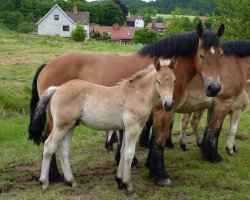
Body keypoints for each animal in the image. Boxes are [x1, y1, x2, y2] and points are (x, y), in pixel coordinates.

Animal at [33, 57, 176, 195]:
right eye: (158, 81)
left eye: (174, 81)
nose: (169, 104)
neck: (137, 94)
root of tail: (57, 88)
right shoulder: (133, 127)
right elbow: (129, 154)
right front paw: (129, 187)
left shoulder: (125, 128)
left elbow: (123, 152)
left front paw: (119, 181)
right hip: (61, 126)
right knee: (49, 146)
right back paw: (44, 182)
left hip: (70, 126)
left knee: (63, 150)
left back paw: (71, 181)